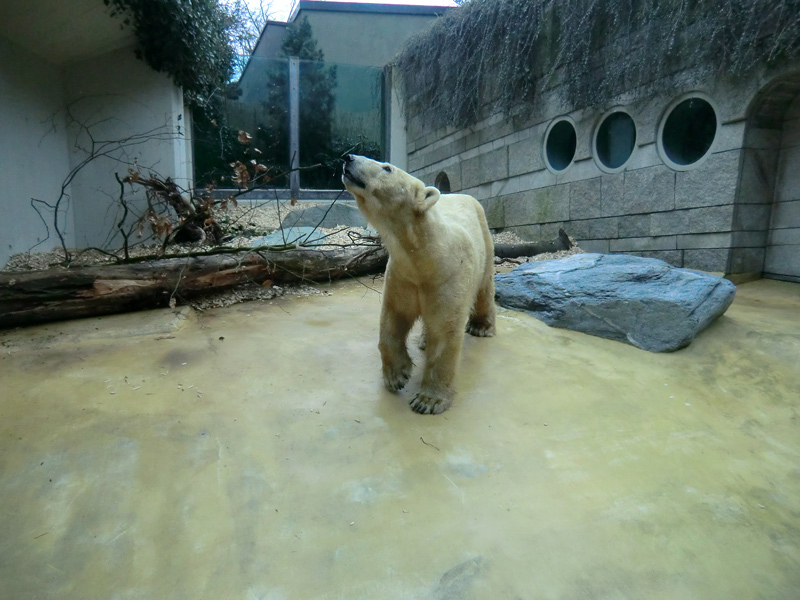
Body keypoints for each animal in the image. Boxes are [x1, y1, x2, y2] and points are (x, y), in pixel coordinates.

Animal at [340, 155, 494, 414]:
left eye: (387, 168)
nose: (348, 158)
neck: (427, 256)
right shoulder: (403, 276)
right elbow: (393, 318)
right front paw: (397, 375)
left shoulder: (448, 278)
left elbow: (444, 330)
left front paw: (428, 400)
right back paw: (423, 340)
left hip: (485, 236)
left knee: (485, 286)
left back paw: (482, 326)